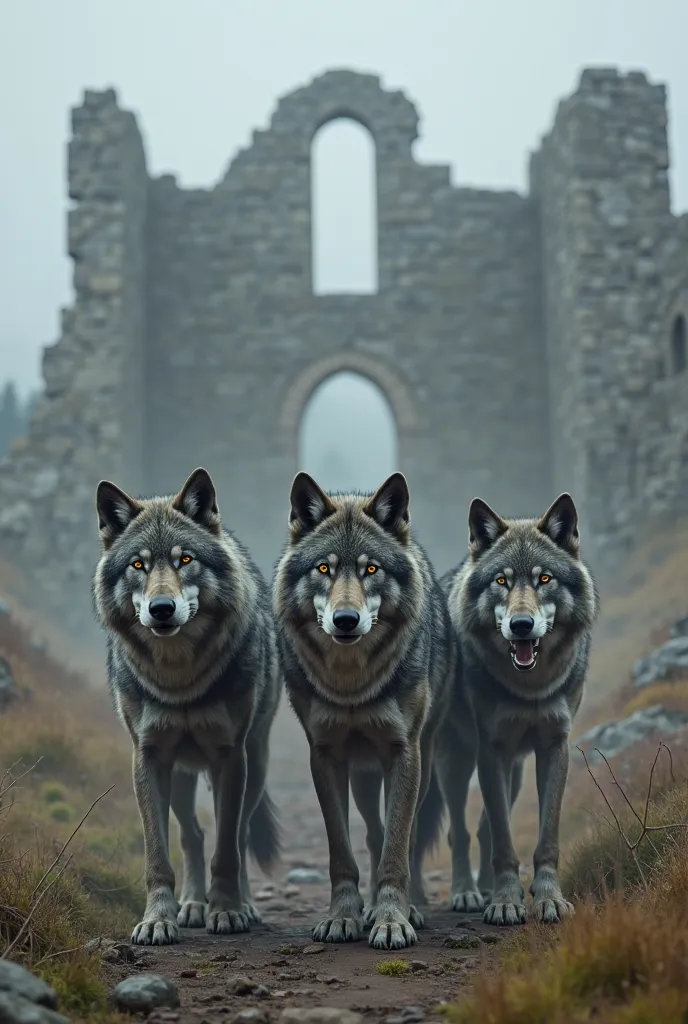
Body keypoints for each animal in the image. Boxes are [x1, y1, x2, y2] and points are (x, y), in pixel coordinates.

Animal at [93, 468, 282, 946]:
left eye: (185, 560)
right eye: (138, 564)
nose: (162, 609)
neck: (179, 678)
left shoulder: (230, 757)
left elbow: (228, 848)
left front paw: (228, 911)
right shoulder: (149, 757)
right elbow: (158, 854)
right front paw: (158, 920)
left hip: (255, 763)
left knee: (239, 833)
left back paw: (241, 905)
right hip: (180, 775)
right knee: (193, 836)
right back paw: (193, 905)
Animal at [274, 471, 456, 950]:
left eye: (370, 569)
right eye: (324, 569)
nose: (345, 620)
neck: (351, 684)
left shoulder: (403, 751)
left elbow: (398, 846)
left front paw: (392, 919)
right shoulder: (326, 755)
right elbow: (342, 849)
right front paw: (343, 917)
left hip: (420, 762)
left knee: (406, 834)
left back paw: (412, 907)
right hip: (363, 776)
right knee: (373, 833)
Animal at [411, 493, 597, 929]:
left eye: (544, 579)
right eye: (502, 581)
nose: (521, 625)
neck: (530, 687)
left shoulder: (553, 748)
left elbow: (543, 837)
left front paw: (549, 899)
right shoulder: (490, 750)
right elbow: (500, 842)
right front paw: (506, 903)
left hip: (514, 773)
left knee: (484, 830)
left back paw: (480, 890)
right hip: (456, 761)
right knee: (459, 833)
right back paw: (461, 893)